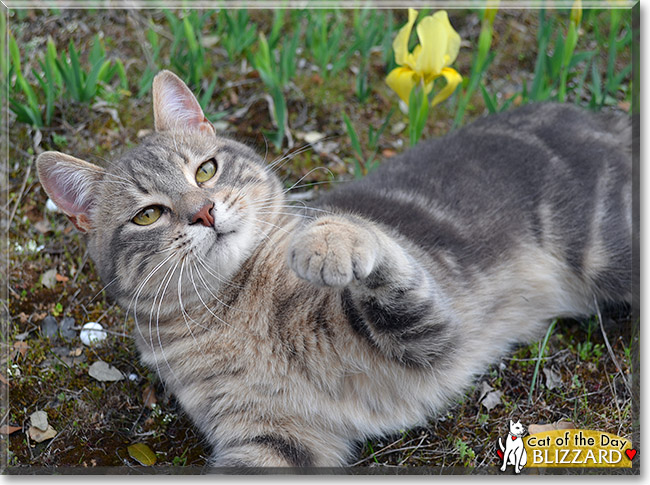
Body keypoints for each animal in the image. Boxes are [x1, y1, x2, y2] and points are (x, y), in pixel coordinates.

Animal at [33, 70, 632, 466]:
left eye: (206, 170)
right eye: (148, 214)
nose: (203, 211)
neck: (231, 314)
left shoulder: (430, 332)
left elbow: (376, 249)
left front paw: (324, 238)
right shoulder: (270, 438)